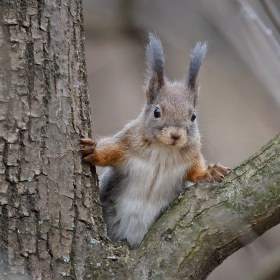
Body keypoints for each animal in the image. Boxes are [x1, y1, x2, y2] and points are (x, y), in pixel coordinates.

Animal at [80, 34, 230, 248]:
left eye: (193, 116)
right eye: (156, 112)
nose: (176, 135)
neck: (164, 150)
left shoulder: (191, 158)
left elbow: (195, 172)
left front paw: (210, 172)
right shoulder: (126, 143)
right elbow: (111, 151)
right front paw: (94, 150)